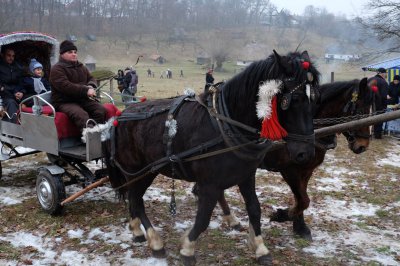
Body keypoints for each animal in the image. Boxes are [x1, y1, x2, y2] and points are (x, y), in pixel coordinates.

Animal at [104, 51, 320, 264]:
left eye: (315, 98)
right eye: (295, 99)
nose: (306, 153)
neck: (224, 125)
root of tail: (121, 115)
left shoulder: (246, 176)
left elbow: (254, 208)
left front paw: (260, 247)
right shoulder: (209, 184)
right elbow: (203, 218)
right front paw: (187, 249)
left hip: (143, 172)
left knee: (133, 200)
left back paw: (136, 231)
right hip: (138, 171)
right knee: (136, 201)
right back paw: (155, 241)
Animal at [211, 78, 374, 240]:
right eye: (360, 111)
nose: (363, 145)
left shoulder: (306, 171)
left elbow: (301, 198)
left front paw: (299, 226)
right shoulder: (289, 170)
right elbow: (303, 199)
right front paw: (283, 215)